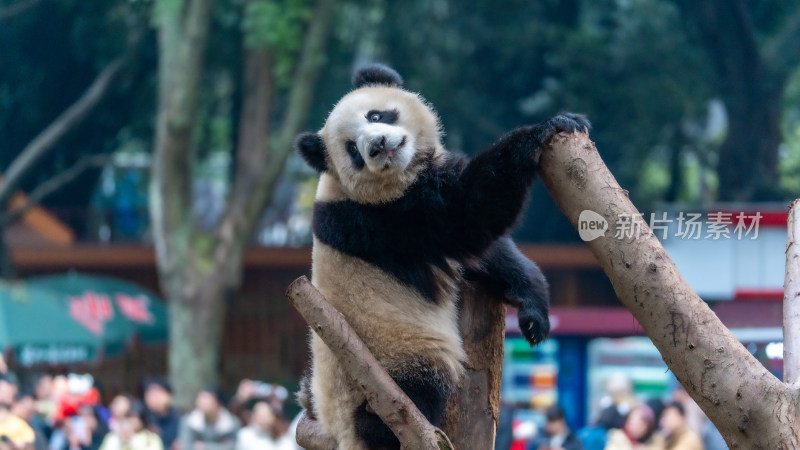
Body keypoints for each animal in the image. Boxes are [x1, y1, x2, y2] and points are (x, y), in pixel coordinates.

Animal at [294, 64, 588, 450]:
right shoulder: (385, 219)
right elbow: (468, 215)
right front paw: (547, 128)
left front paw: (533, 314)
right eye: (352, 151)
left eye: (376, 115)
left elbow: (487, 257)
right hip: (394, 359)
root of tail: (339, 433)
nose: (377, 145)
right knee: (412, 396)